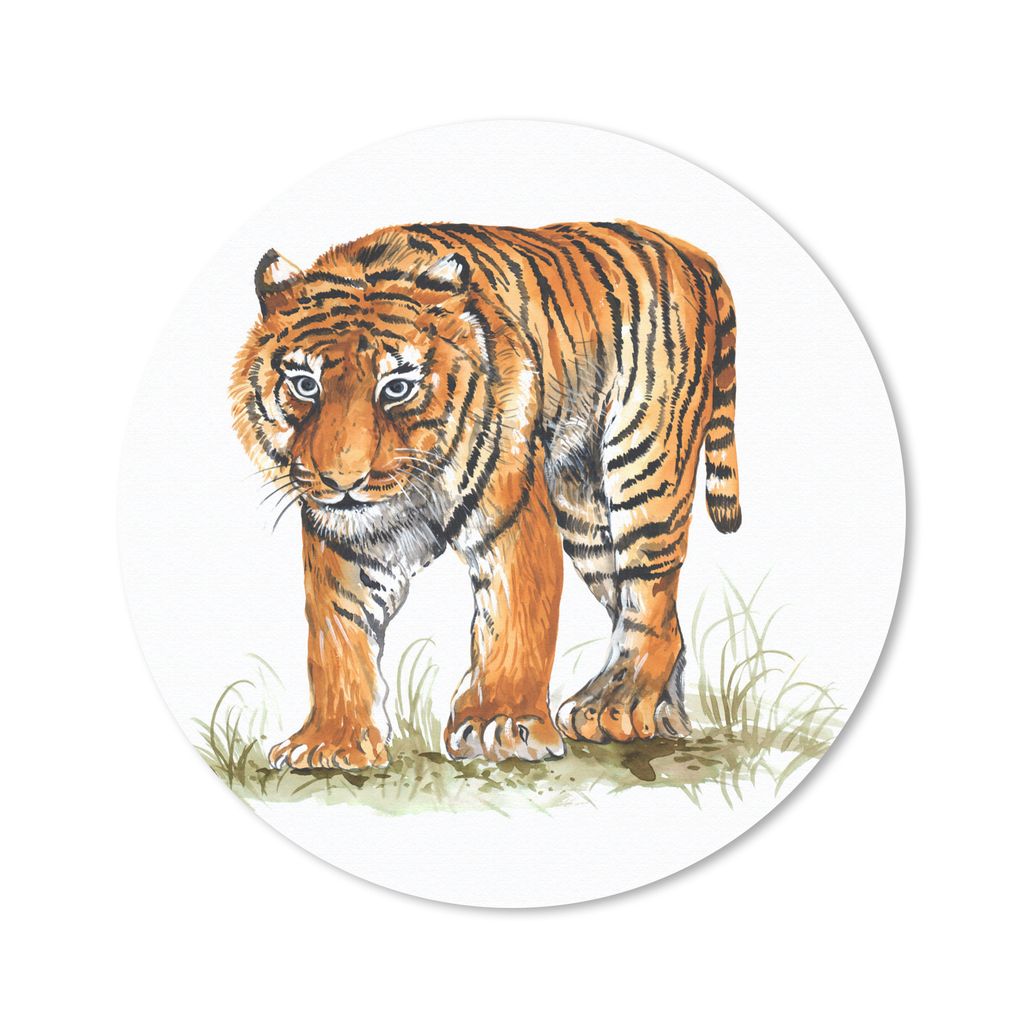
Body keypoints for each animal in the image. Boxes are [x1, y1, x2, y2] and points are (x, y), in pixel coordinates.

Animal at [230, 221, 740, 769]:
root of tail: (690, 252)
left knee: (651, 600)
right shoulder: (344, 541)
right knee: (643, 608)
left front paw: (502, 723)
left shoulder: (510, 516)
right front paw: (331, 740)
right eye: (305, 384)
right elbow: (336, 636)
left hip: (644, 465)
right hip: (584, 511)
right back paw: (659, 718)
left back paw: (614, 707)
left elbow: (516, 621)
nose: (343, 481)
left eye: (396, 388)